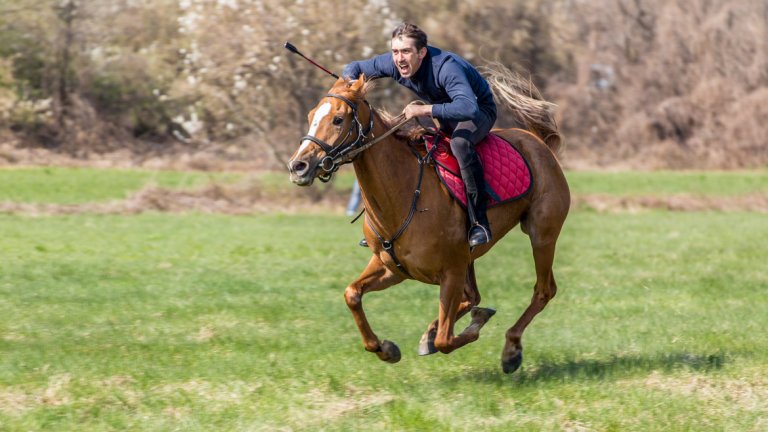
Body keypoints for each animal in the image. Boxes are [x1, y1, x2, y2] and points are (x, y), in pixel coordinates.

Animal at [288, 71, 568, 374]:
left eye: (338, 119)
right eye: (311, 115)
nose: (298, 166)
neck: (403, 194)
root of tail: (539, 142)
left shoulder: (451, 271)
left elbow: (447, 339)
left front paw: (469, 329)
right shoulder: (392, 268)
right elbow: (352, 294)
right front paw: (386, 348)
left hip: (542, 235)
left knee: (543, 290)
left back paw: (511, 349)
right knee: (474, 298)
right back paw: (436, 332)